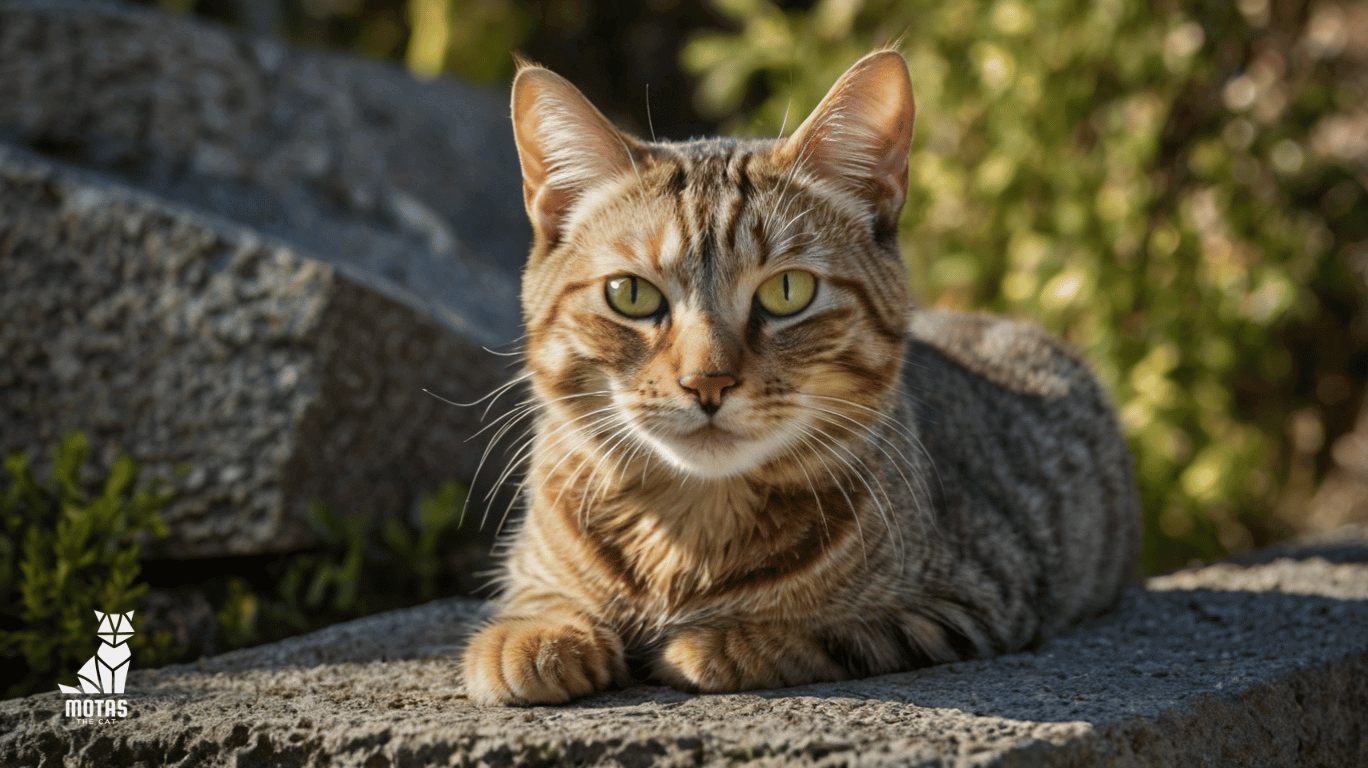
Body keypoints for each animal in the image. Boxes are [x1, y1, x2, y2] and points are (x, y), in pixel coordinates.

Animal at [462, 50, 1143, 706]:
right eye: (630, 294)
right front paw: (531, 638)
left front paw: (713, 644)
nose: (707, 382)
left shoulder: (969, 602)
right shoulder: (531, 568)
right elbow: (537, 600)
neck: (689, 529)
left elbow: (820, 632)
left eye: (788, 291)